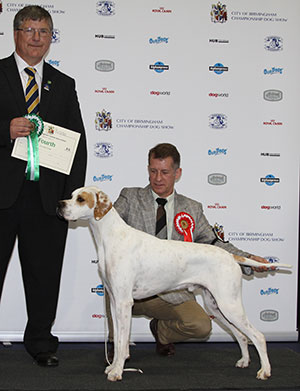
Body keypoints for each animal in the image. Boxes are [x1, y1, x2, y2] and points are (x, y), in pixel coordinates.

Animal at [57, 187, 292, 382]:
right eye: (71, 194)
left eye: (80, 198)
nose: (60, 204)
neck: (110, 237)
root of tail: (230, 256)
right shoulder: (115, 302)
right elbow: (119, 340)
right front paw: (114, 366)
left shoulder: (124, 303)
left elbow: (123, 342)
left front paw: (117, 372)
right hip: (216, 306)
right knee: (242, 336)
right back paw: (244, 361)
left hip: (229, 304)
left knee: (258, 336)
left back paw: (265, 371)